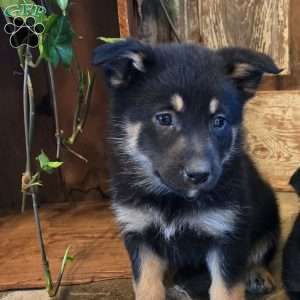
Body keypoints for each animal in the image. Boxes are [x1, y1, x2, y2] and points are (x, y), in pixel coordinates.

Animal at [92, 39, 282, 300]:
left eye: (219, 121)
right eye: (164, 118)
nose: (199, 175)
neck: (172, 199)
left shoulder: (227, 234)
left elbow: (226, 290)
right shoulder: (139, 235)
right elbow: (147, 287)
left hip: (269, 211)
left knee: (261, 250)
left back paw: (257, 273)